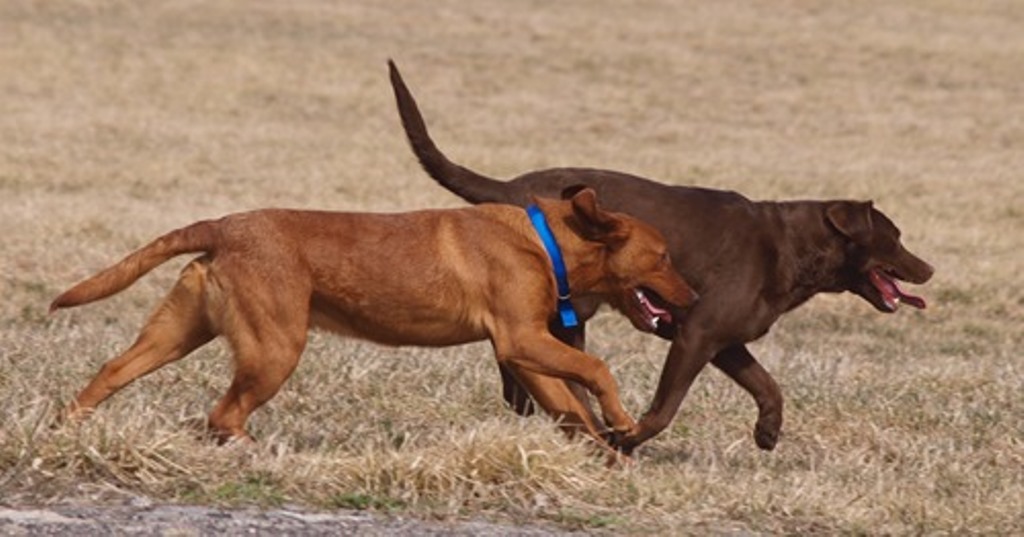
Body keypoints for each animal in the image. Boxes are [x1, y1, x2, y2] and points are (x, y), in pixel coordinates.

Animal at [51, 186, 700, 446]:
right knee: (222, 414)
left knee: (111, 371)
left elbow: (571, 409)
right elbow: (597, 370)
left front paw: (607, 456)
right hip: (274, 349)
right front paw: (622, 421)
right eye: (664, 257)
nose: (694, 300)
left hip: (178, 331)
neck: (546, 241)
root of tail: (224, 226)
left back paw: (65, 428)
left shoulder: (525, 354)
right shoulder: (521, 340)